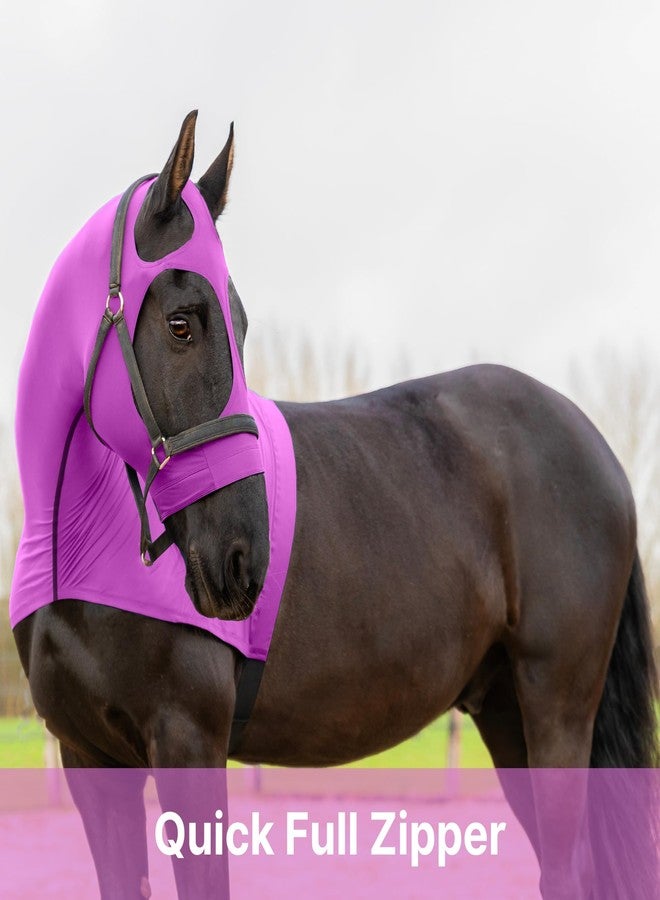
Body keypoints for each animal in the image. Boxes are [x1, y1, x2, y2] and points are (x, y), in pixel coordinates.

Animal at [12, 111, 658, 900]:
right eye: (183, 322)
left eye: (240, 325)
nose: (243, 561)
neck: (81, 557)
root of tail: (597, 448)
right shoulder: (88, 759)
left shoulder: (187, 741)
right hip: (507, 711)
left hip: (557, 707)